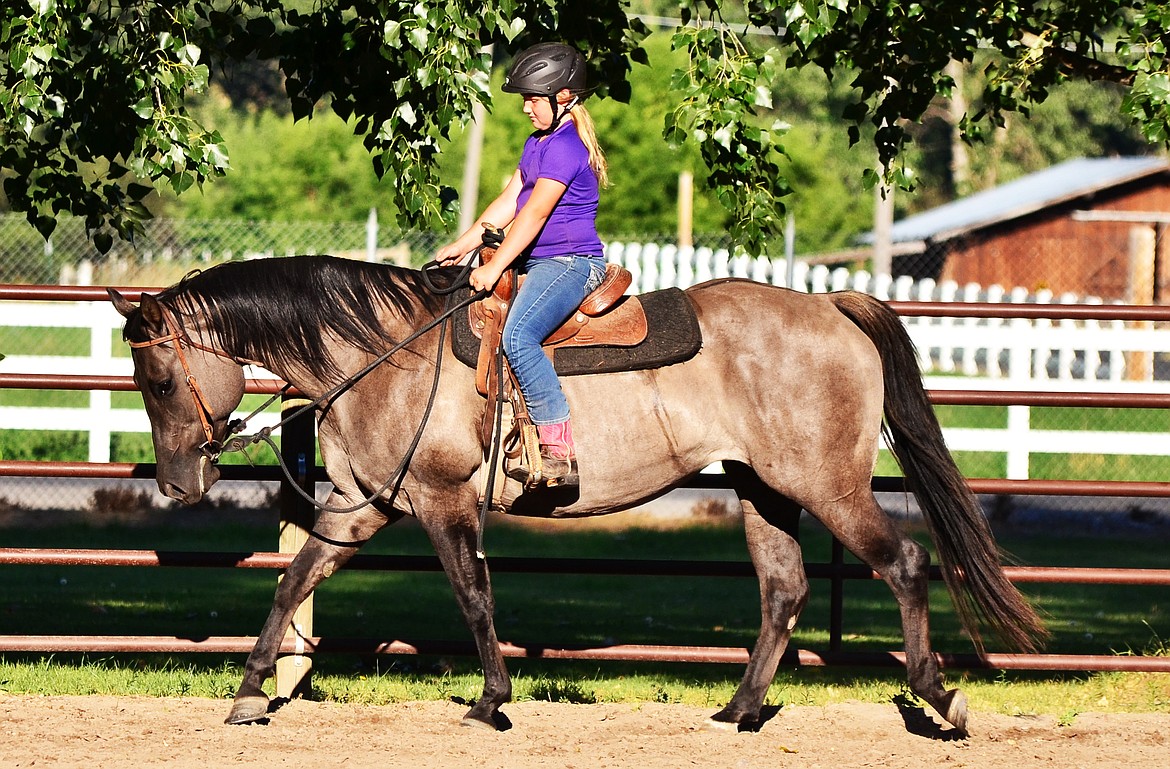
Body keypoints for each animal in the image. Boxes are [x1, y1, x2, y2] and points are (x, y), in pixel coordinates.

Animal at [107, 253, 1043, 730]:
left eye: (157, 377)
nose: (178, 482)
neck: (383, 352)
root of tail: (834, 308)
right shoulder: (363, 504)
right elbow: (292, 580)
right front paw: (248, 692)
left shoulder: (443, 502)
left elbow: (473, 594)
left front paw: (492, 699)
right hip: (764, 490)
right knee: (784, 590)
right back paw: (738, 710)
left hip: (825, 484)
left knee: (906, 561)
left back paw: (941, 700)